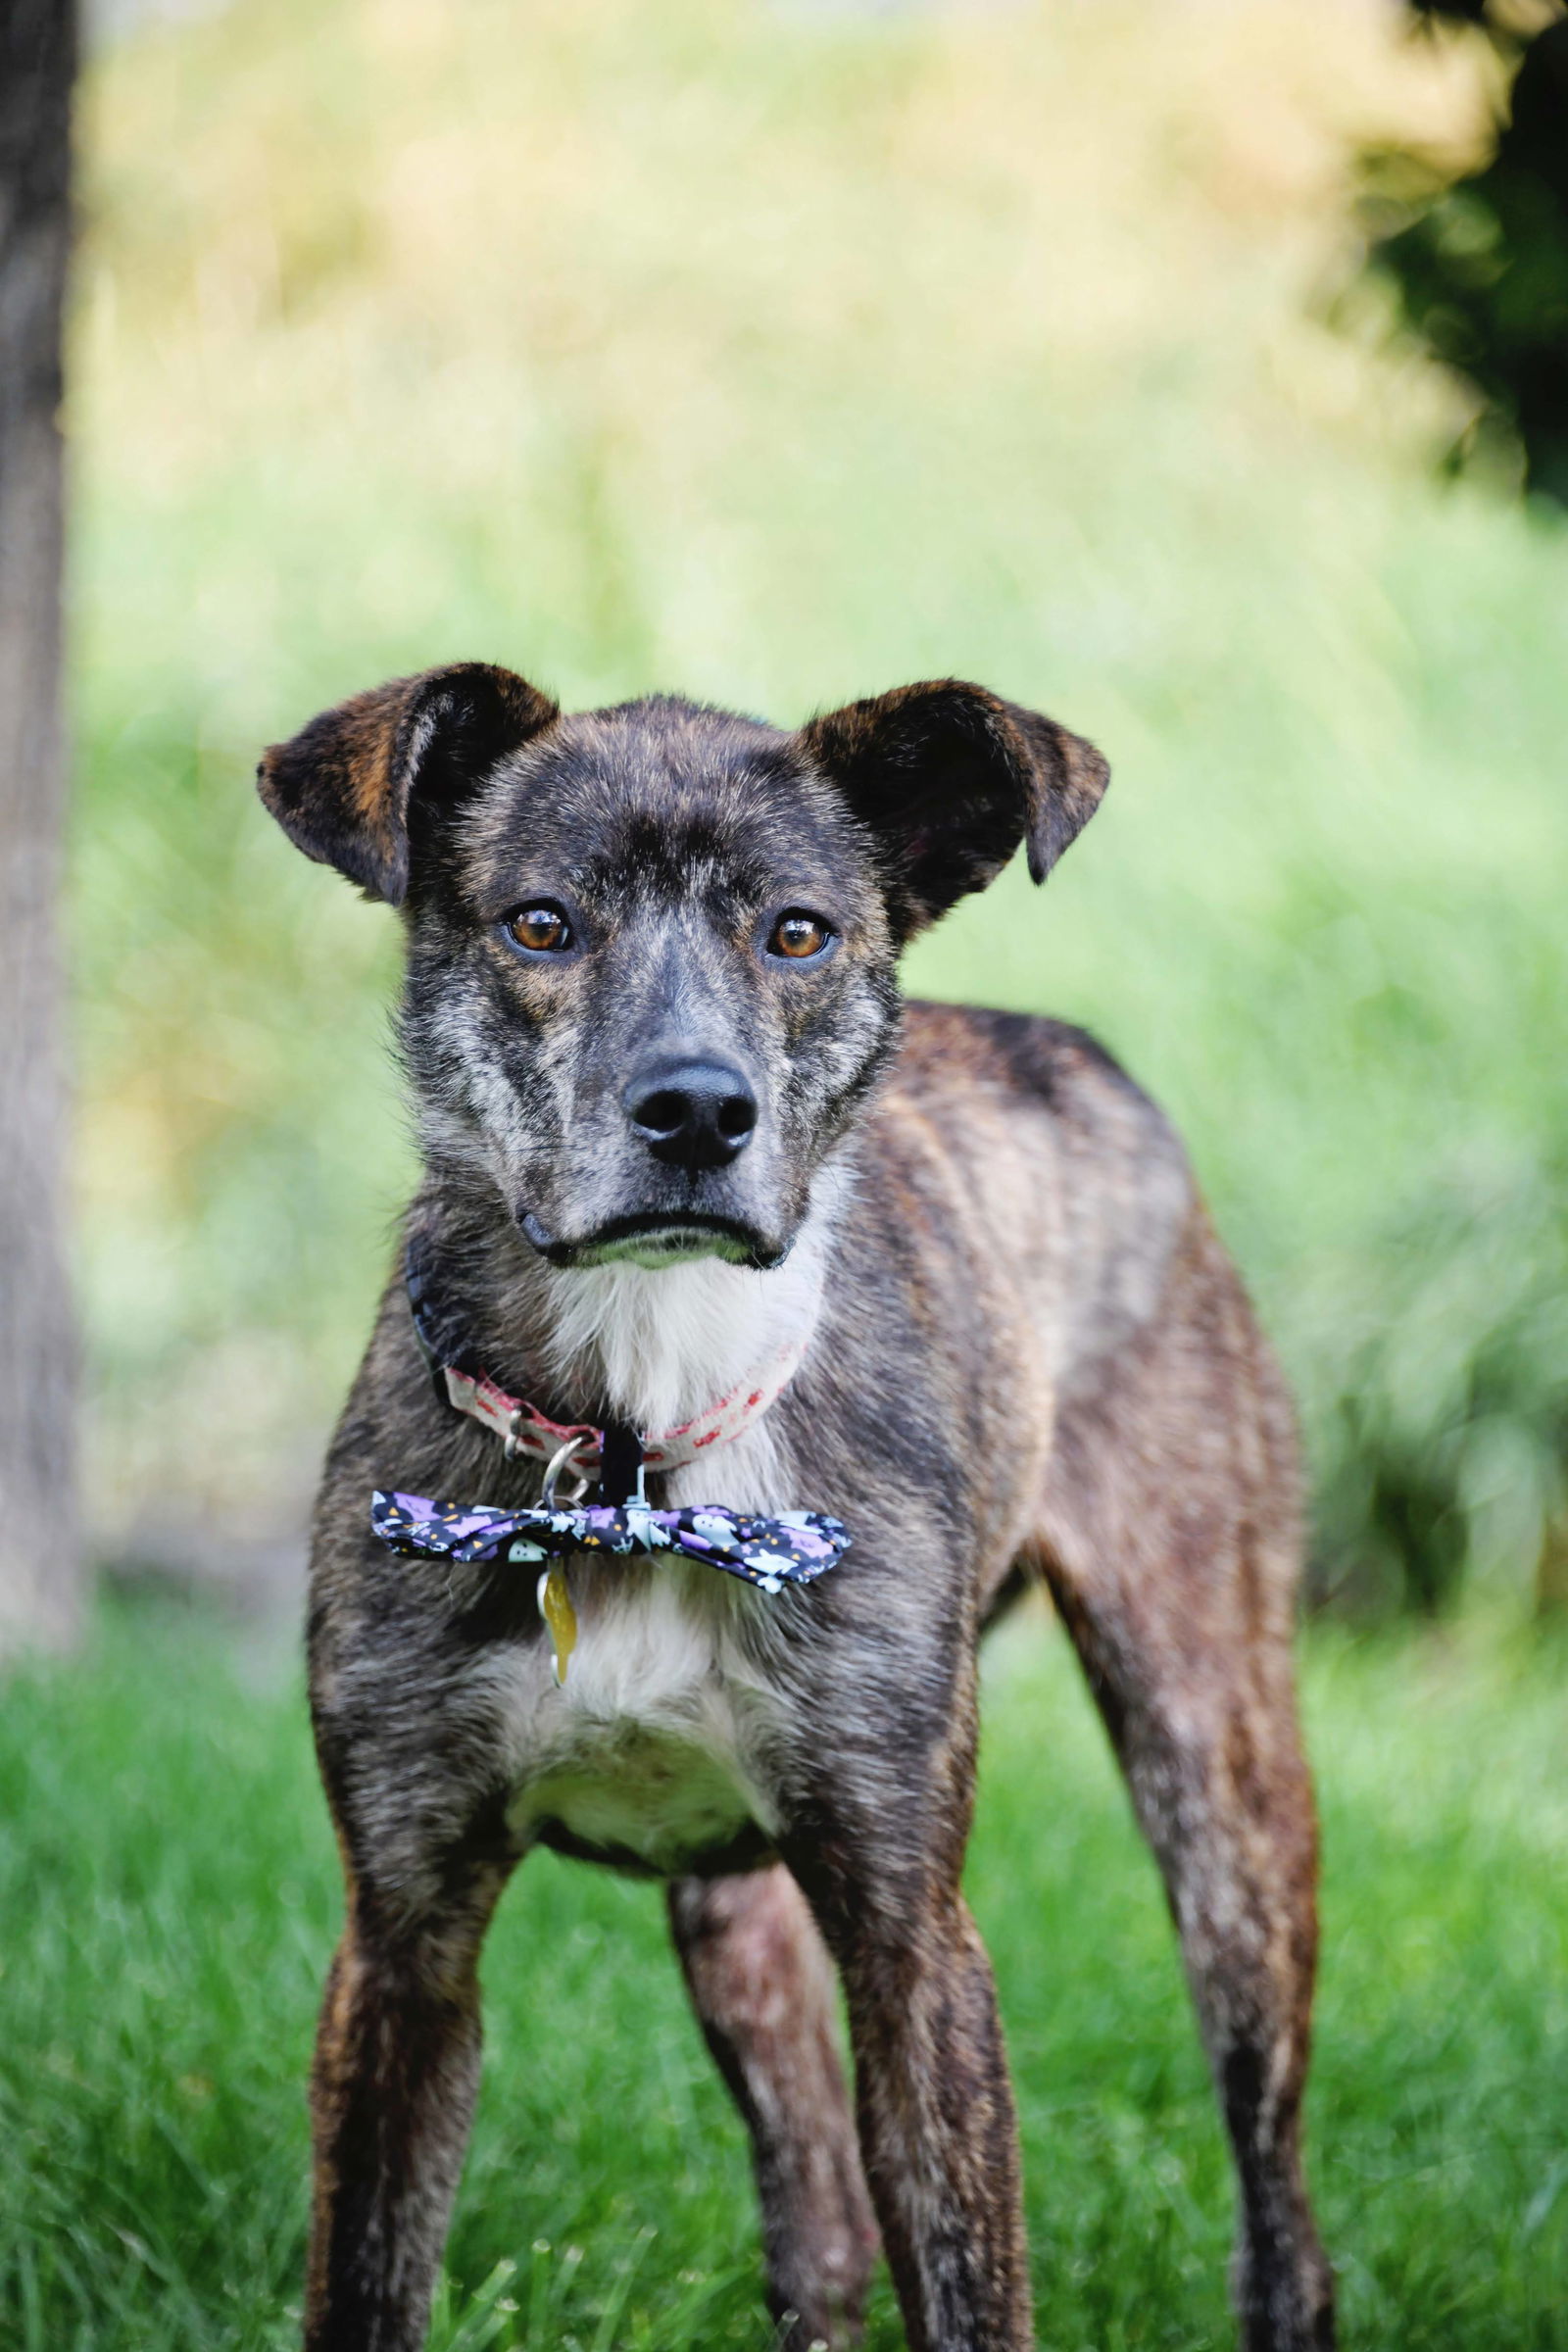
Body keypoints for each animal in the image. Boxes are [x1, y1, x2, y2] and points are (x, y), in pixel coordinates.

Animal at [257, 667, 1335, 2352]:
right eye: (540, 925)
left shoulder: (913, 1942)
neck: (638, 1451)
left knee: (1276, 2182)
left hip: (1219, 1770)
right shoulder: (404, 1946)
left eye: (799, 933)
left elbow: (970, 2283)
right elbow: (367, 2281)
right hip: (741, 1921)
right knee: (819, 2211)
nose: (699, 1112)